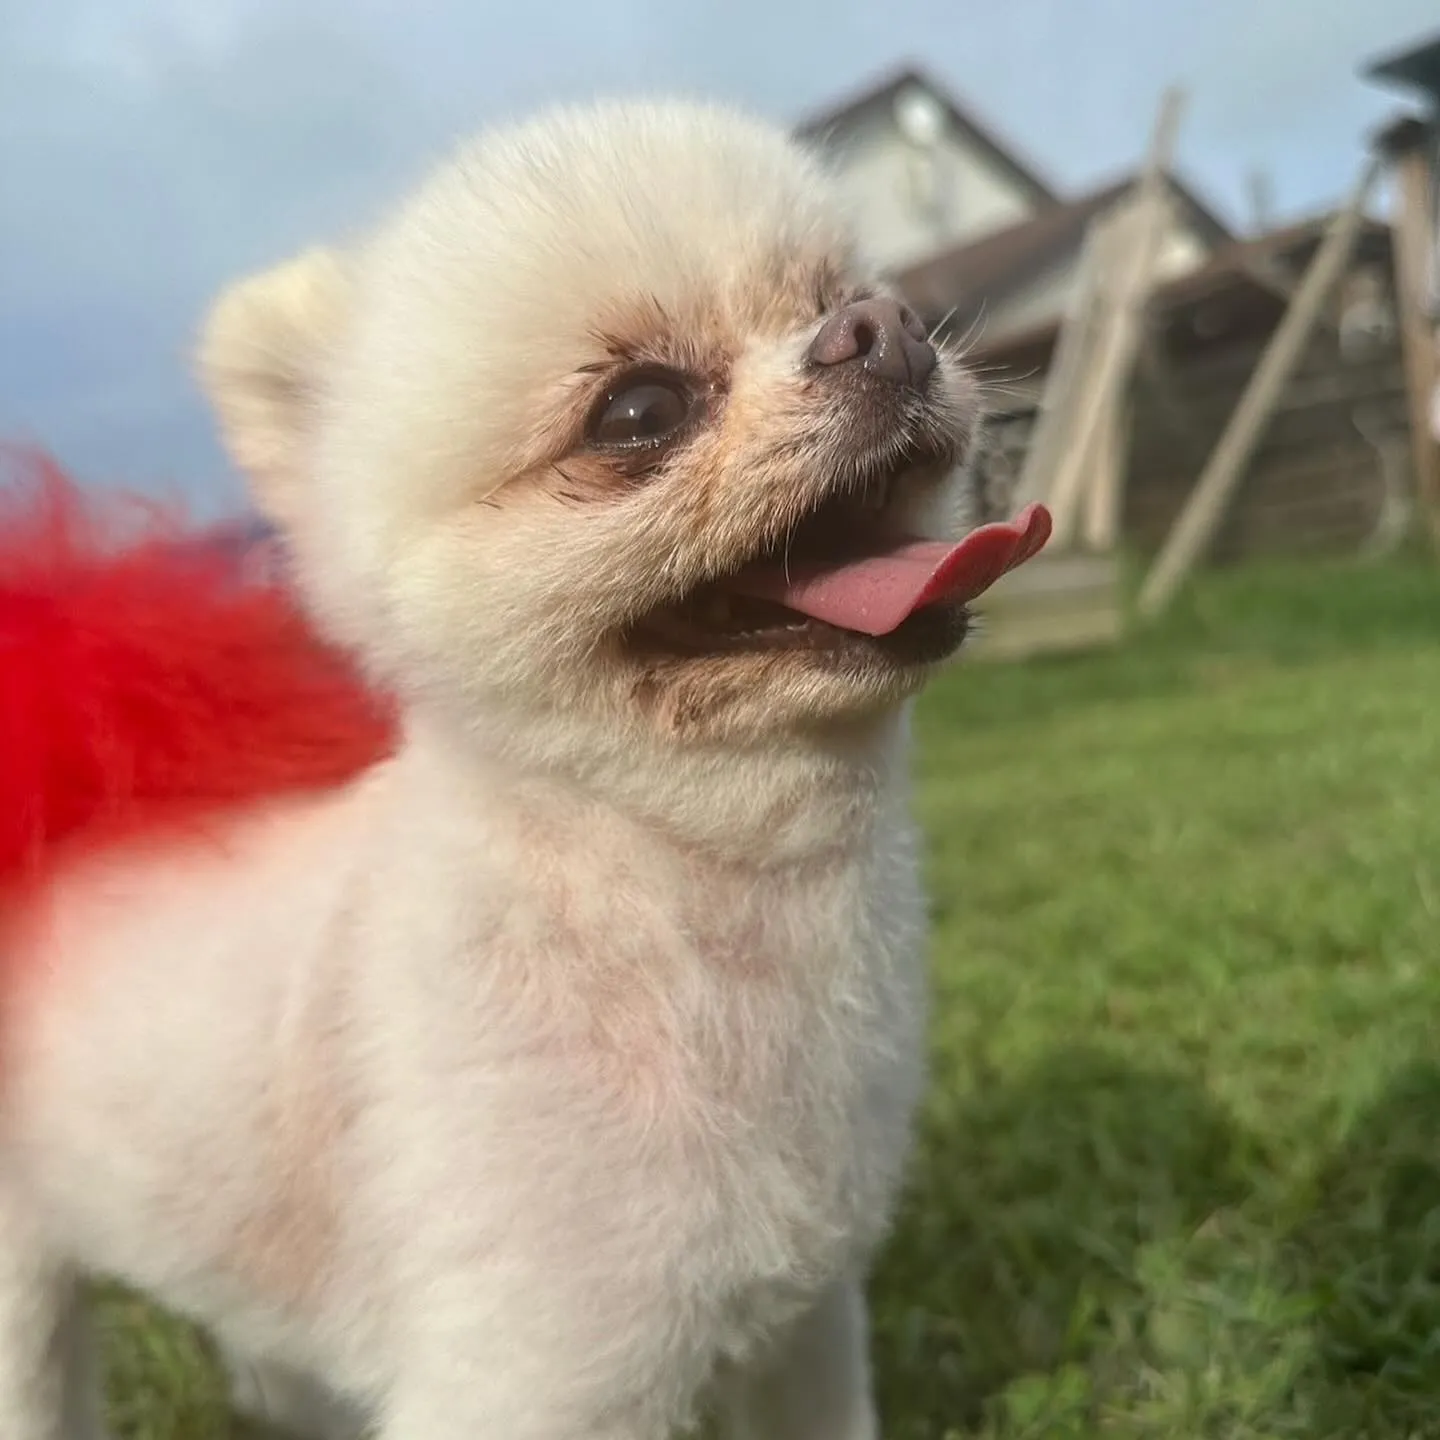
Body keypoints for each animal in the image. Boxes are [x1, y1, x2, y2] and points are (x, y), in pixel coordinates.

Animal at [0, 95, 1048, 1434]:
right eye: (638, 411)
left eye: (846, 294)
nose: (886, 331)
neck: (676, 898)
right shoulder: (538, 1370)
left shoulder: (806, 1322)